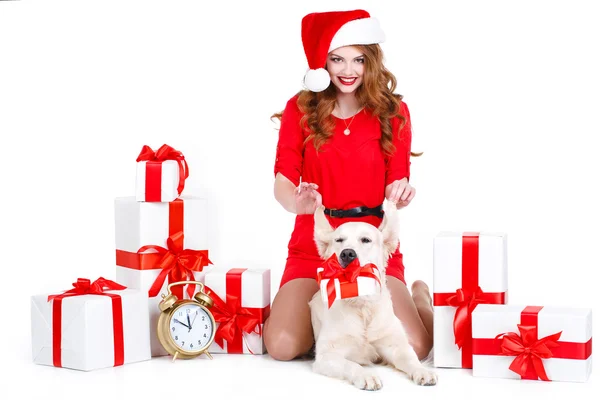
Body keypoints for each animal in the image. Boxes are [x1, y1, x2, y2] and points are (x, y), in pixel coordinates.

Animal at [310, 200, 436, 390]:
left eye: (366, 240)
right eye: (339, 240)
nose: (347, 253)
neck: (362, 305)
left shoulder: (395, 345)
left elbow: (411, 359)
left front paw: (423, 371)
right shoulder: (327, 355)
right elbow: (351, 364)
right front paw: (366, 375)